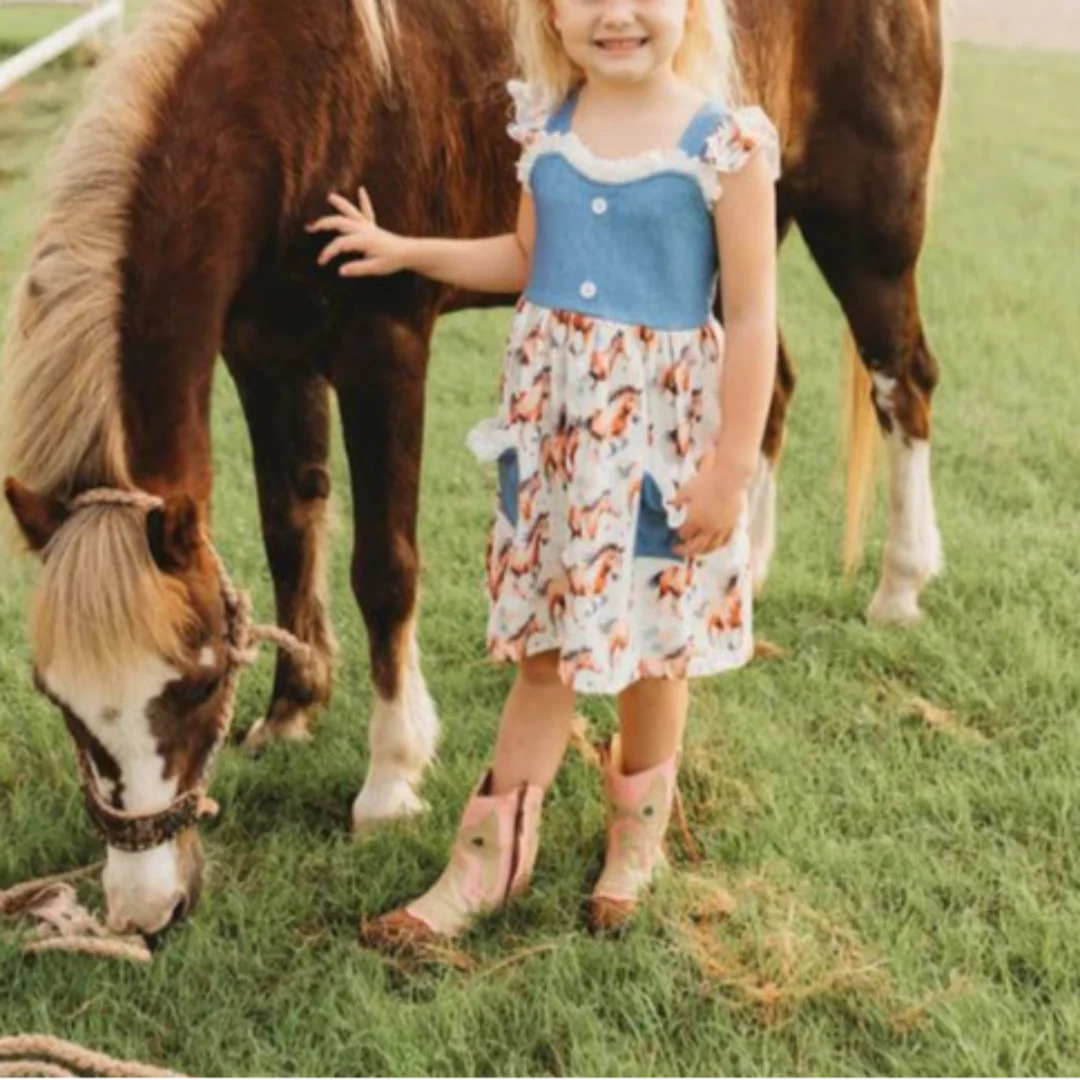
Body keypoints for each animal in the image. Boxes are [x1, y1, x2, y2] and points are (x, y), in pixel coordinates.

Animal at [0, 0, 945, 935]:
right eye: (58, 700)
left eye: (195, 688)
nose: (145, 908)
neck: (295, 86)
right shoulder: (263, 354)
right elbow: (288, 527)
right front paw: (291, 709)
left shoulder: (384, 348)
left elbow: (383, 569)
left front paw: (390, 778)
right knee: (767, 388)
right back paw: (747, 567)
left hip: (867, 226)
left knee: (901, 379)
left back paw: (899, 587)